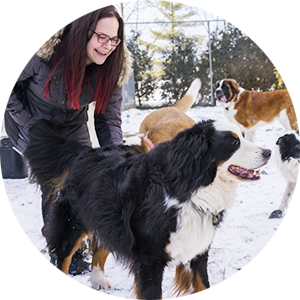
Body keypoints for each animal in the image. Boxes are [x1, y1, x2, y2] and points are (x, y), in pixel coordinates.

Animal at [24, 119, 270, 300]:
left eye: (244, 136)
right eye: (233, 143)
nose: (268, 151)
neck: (189, 189)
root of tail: (85, 152)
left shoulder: (197, 252)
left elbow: (204, 289)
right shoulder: (149, 260)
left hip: (110, 221)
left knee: (100, 249)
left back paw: (99, 281)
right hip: (73, 221)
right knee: (63, 253)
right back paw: (62, 286)